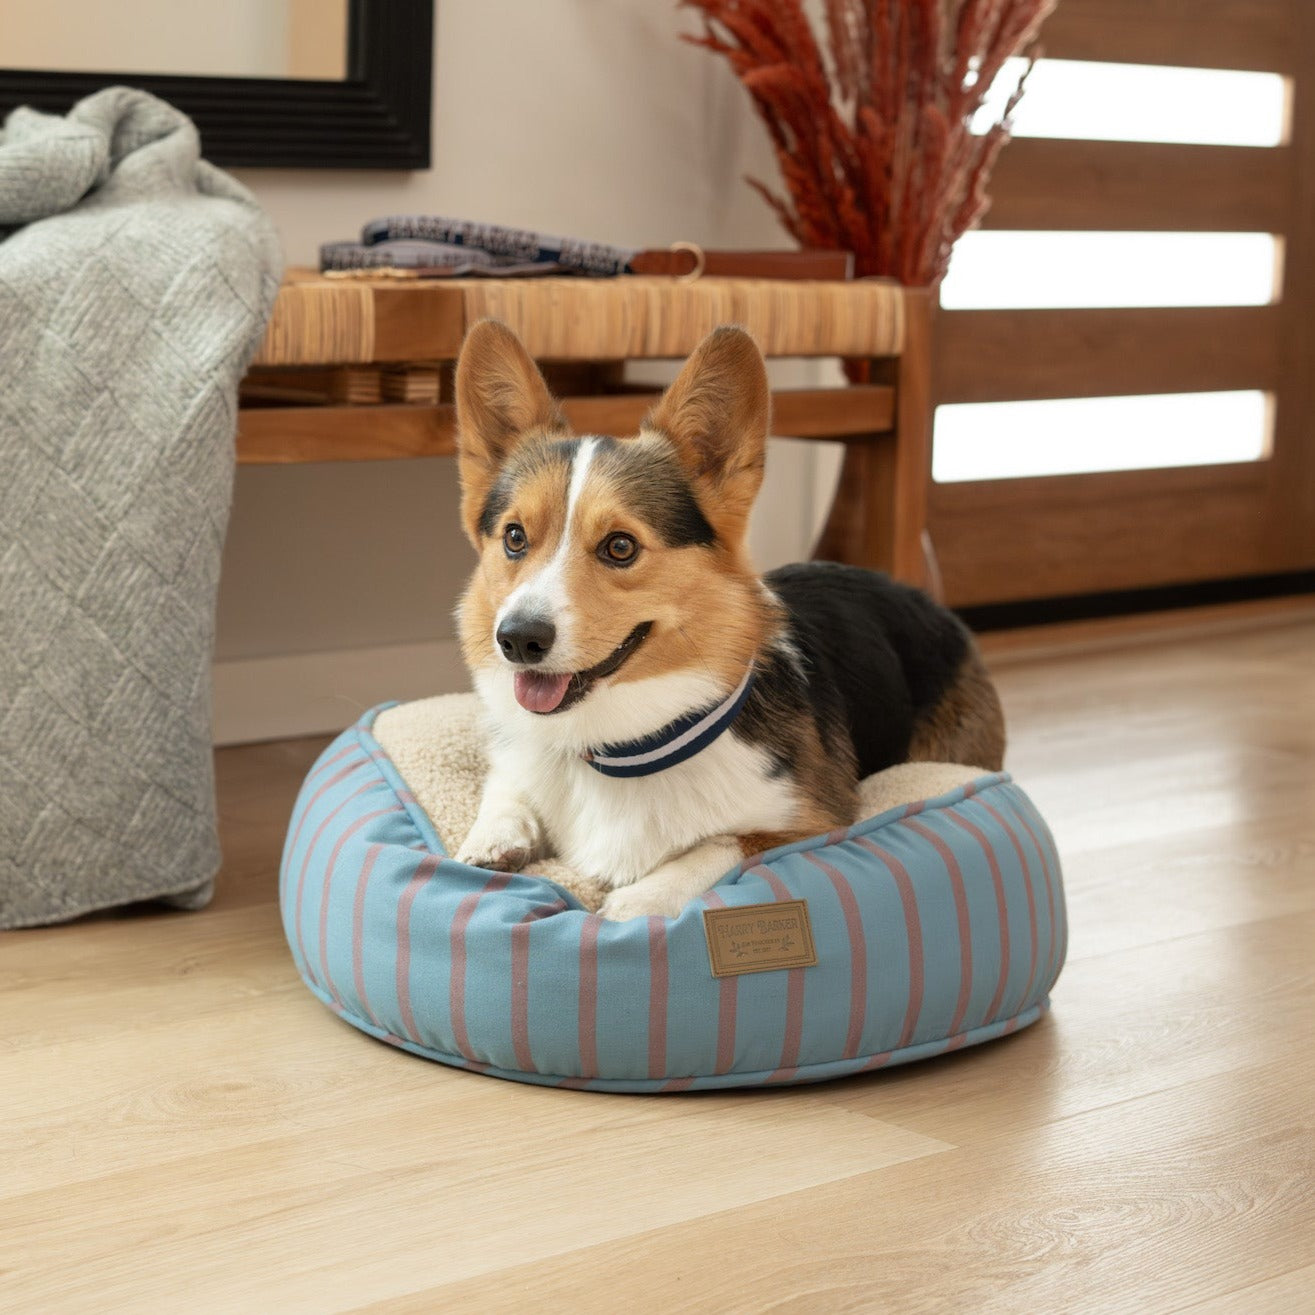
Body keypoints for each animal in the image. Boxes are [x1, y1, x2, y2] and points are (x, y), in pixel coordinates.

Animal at [454, 319, 1004, 920]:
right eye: (514, 537)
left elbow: (719, 844)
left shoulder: (814, 820)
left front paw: (633, 902)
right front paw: (490, 841)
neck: (615, 748)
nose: (517, 640)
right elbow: (506, 791)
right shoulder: (516, 761)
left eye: (620, 547)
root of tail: (929, 602)